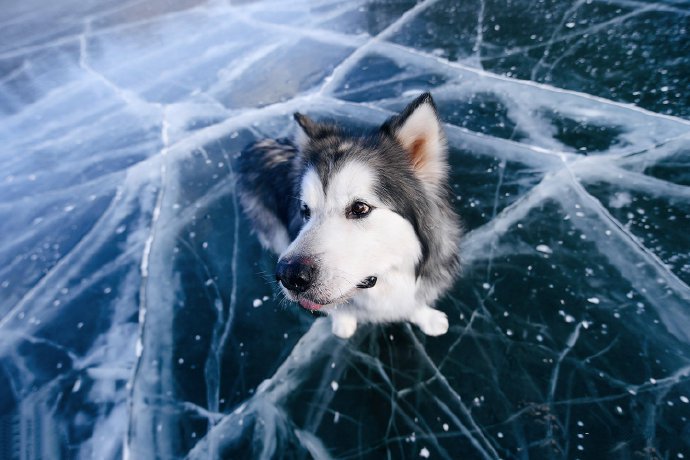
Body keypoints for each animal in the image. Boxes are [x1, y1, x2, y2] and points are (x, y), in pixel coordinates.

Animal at [234, 92, 460, 338]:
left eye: (360, 208)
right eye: (305, 210)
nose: (289, 275)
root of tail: (255, 145)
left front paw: (426, 317)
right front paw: (344, 322)